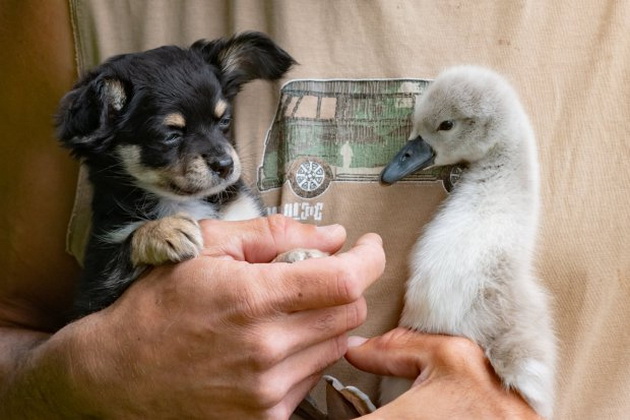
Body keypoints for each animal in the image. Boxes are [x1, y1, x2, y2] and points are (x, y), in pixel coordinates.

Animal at [55, 31, 298, 316]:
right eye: (170, 136)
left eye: (225, 121)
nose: (225, 164)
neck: (185, 201)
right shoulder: (97, 286)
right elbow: (126, 245)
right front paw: (166, 230)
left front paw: (294, 255)